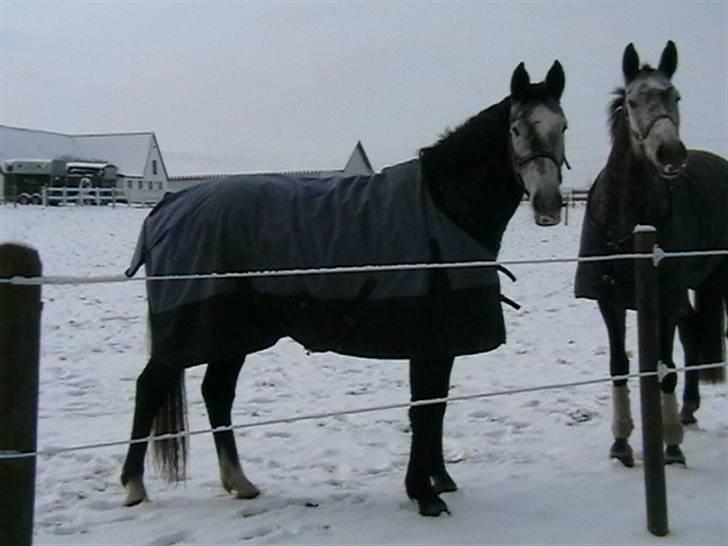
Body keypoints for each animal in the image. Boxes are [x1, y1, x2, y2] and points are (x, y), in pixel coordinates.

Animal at [122, 60, 572, 516]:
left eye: (563, 126)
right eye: (515, 129)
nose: (548, 207)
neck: (445, 207)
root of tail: (167, 209)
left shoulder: (442, 341)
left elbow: (437, 406)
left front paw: (439, 481)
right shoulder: (428, 339)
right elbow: (423, 411)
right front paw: (423, 493)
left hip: (233, 333)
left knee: (216, 392)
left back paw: (239, 482)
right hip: (192, 331)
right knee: (150, 387)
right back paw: (134, 487)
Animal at [576, 42, 724, 466]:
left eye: (676, 96)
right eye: (632, 101)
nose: (670, 153)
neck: (627, 226)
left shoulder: (664, 297)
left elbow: (664, 367)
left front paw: (670, 445)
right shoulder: (608, 301)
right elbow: (619, 365)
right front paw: (621, 441)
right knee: (692, 335)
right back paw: (689, 409)